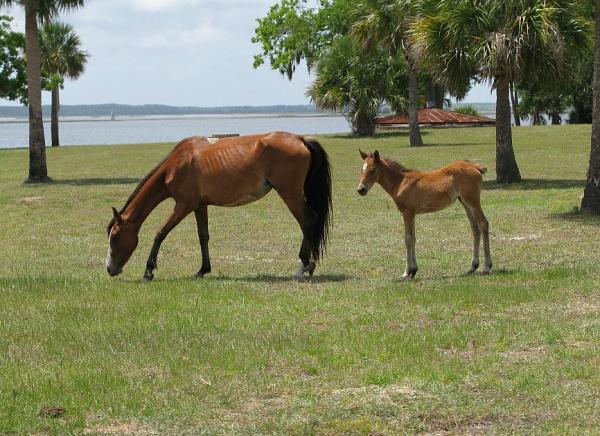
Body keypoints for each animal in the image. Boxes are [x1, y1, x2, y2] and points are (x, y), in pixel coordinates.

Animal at [107, 133, 332, 282]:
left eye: (115, 237)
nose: (110, 269)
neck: (178, 163)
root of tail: (300, 139)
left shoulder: (183, 206)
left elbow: (160, 233)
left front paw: (149, 271)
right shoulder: (199, 206)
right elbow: (203, 236)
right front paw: (202, 270)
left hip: (290, 194)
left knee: (308, 222)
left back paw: (304, 267)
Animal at [356, 150, 492, 280]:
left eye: (373, 170)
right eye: (362, 169)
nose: (361, 189)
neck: (400, 182)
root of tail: (475, 167)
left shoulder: (408, 212)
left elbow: (408, 239)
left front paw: (407, 272)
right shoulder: (412, 213)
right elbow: (413, 238)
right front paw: (414, 270)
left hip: (472, 201)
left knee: (483, 224)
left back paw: (487, 267)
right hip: (464, 202)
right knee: (475, 229)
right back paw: (472, 267)